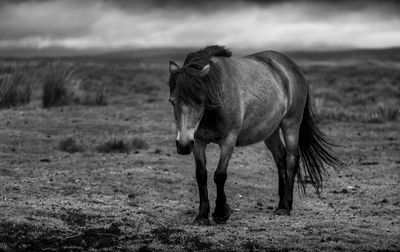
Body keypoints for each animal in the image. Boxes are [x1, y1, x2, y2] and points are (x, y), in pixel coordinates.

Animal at [168, 45, 340, 226]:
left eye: (200, 101)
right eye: (172, 101)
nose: (183, 145)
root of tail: (292, 67)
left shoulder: (229, 140)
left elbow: (220, 175)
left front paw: (221, 213)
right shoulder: (198, 142)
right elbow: (201, 175)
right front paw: (202, 216)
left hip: (291, 124)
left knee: (292, 158)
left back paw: (285, 207)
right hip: (270, 131)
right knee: (280, 157)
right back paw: (282, 201)